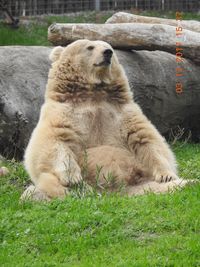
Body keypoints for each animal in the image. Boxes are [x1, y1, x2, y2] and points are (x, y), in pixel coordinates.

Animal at [22, 40, 184, 201]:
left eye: (109, 47)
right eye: (90, 47)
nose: (107, 53)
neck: (94, 94)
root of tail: (114, 192)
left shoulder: (123, 112)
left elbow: (146, 139)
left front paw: (166, 175)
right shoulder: (63, 111)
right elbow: (53, 140)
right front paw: (73, 178)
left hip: (143, 181)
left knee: (164, 186)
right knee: (50, 185)